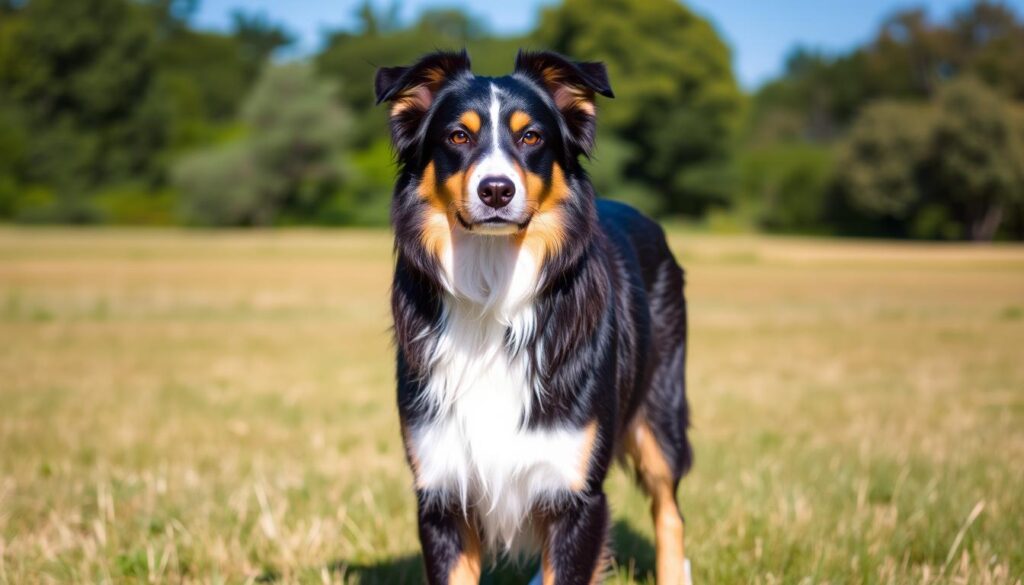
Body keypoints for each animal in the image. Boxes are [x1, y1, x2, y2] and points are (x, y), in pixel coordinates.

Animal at [372, 51, 692, 585]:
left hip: (659, 417)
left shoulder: (576, 494)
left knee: (669, 510)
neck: (493, 292)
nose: (496, 190)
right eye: (457, 136)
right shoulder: (441, 493)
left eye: (531, 137)